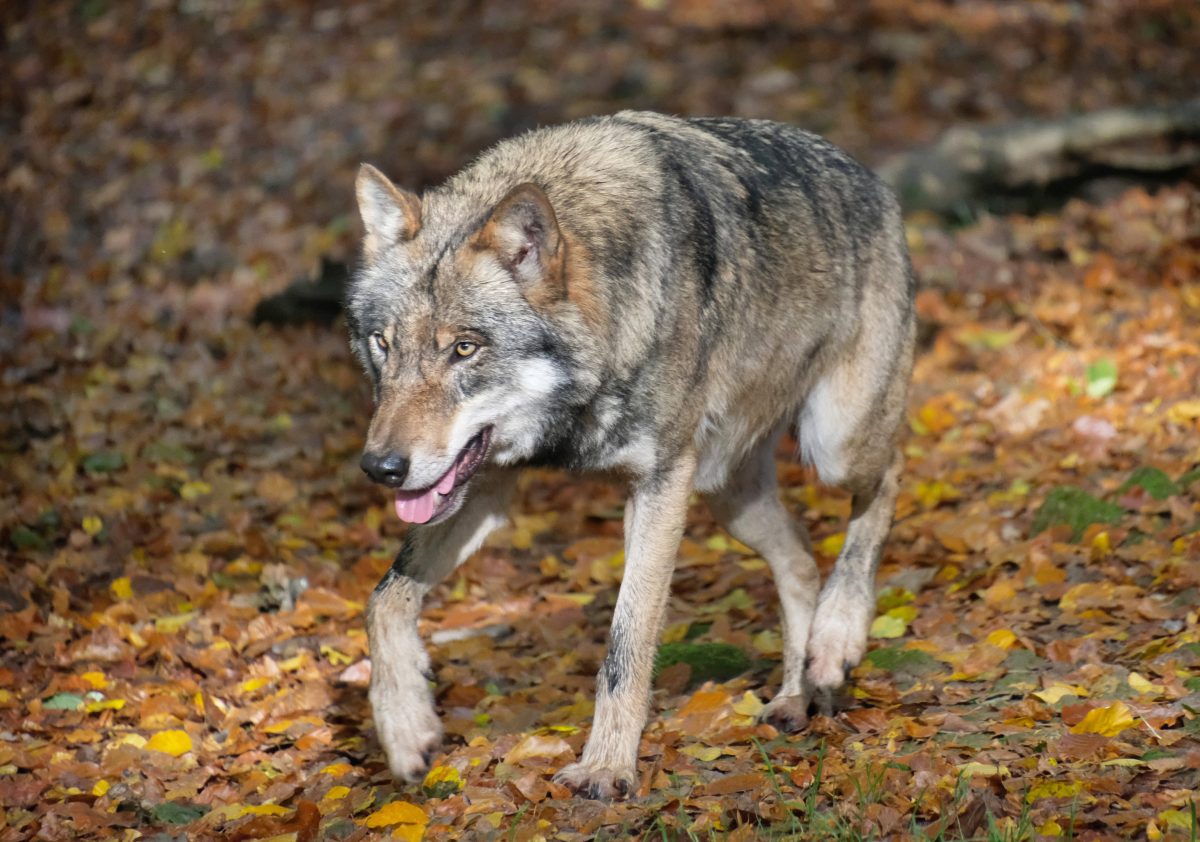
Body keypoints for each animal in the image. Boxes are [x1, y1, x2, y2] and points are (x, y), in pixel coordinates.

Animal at [348, 110, 916, 796]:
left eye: (464, 348)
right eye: (382, 344)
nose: (381, 468)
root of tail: (870, 177)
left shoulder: (660, 485)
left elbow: (626, 642)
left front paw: (606, 767)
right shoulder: (486, 485)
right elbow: (384, 599)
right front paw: (405, 728)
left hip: (834, 444)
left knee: (889, 477)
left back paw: (836, 639)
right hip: (729, 496)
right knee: (803, 559)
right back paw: (794, 695)